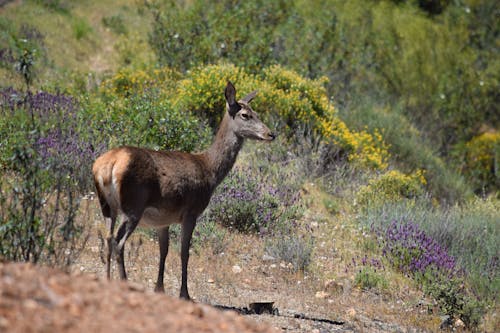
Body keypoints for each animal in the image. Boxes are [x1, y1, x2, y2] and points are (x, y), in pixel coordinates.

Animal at [92, 80, 276, 298]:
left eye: (256, 112)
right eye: (245, 115)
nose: (271, 134)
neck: (210, 172)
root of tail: (108, 165)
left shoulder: (163, 219)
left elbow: (164, 250)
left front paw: (159, 288)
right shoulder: (191, 211)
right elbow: (184, 252)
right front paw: (185, 294)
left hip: (106, 205)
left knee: (107, 238)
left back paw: (107, 281)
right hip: (133, 205)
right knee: (118, 242)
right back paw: (124, 283)